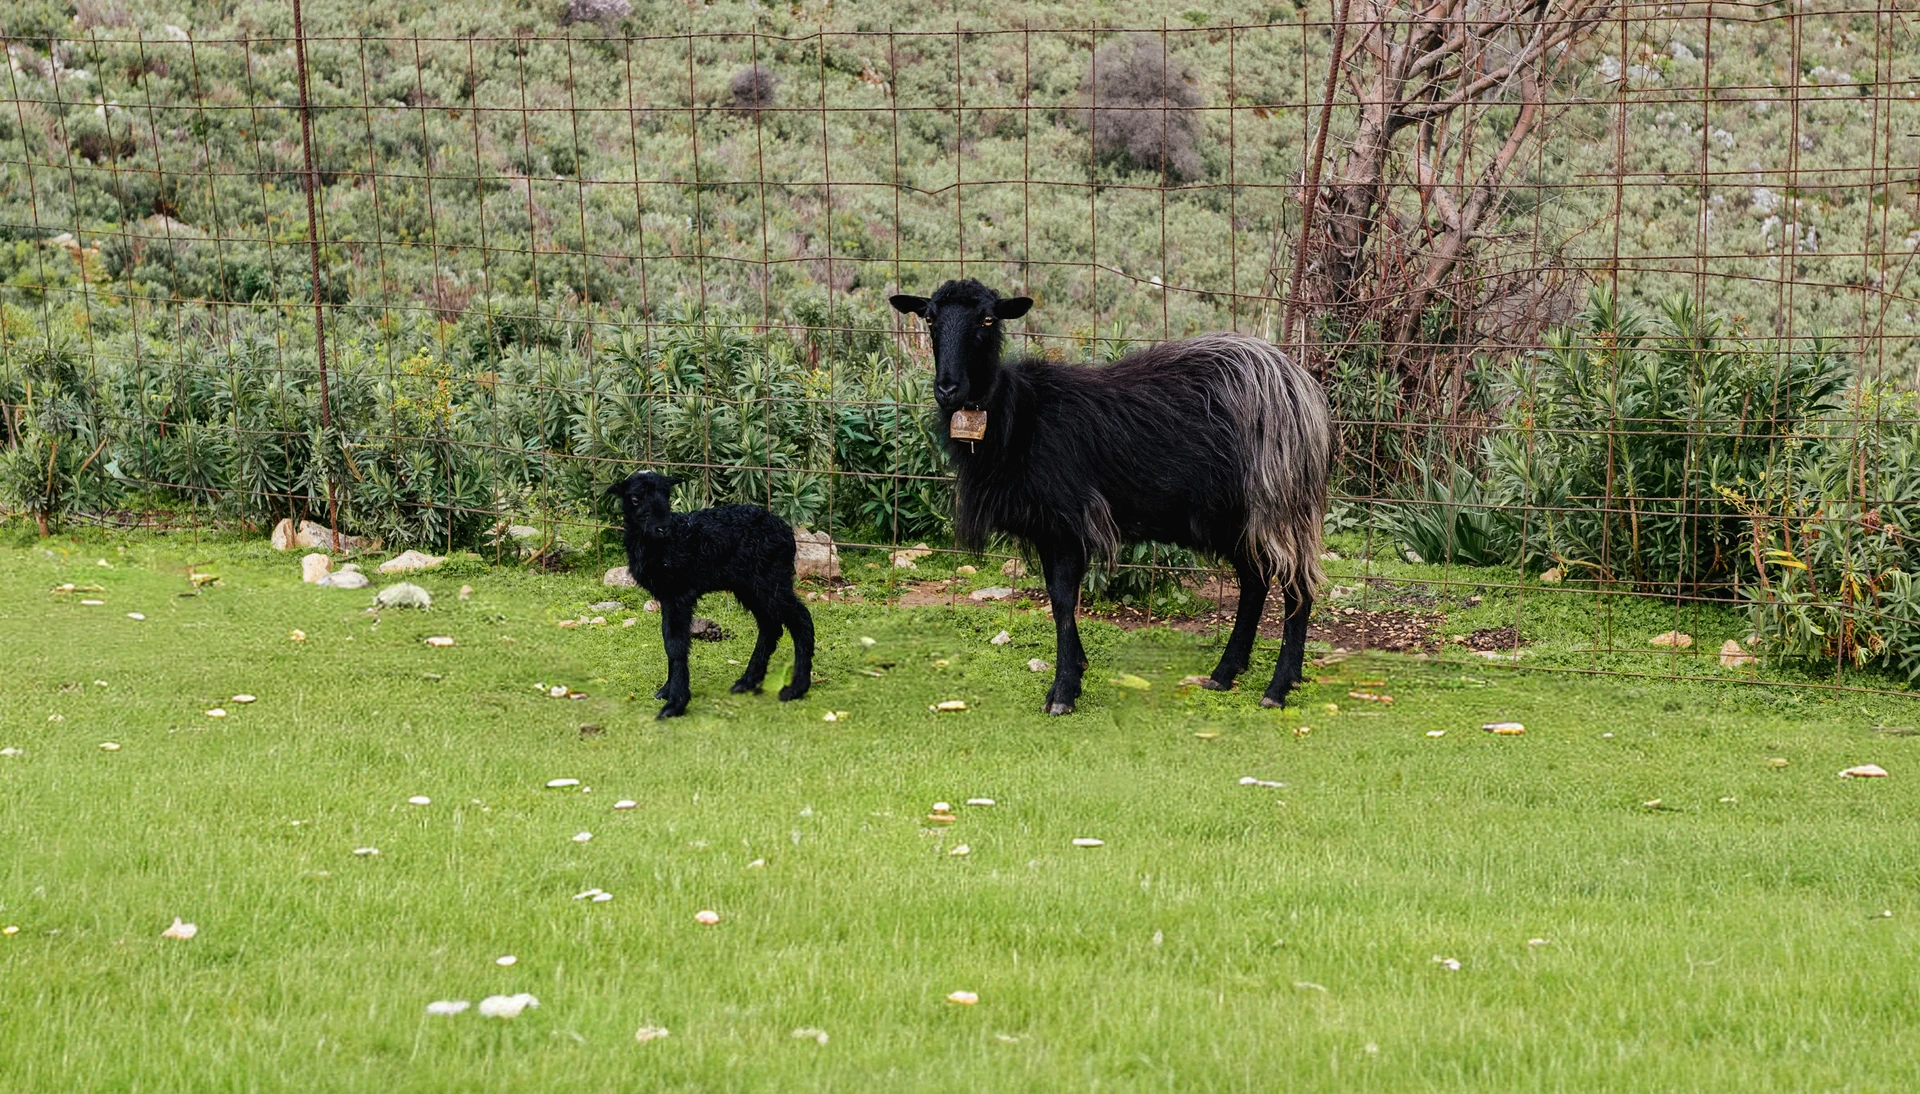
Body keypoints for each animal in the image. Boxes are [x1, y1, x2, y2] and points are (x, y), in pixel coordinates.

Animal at [605, 471, 814, 718]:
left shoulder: (680, 593)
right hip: (750, 585)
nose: (662, 528)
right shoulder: (667, 595)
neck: (665, 543)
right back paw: (747, 681)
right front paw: (666, 690)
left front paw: (675, 703)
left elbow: (676, 644)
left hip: (770, 578)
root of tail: (786, 531)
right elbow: (668, 640)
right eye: (635, 498)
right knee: (770, 626)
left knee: (800, 619)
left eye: (666, 495)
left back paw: (796, 688)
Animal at [891, 279, 1330, 715]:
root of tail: (1299, 385)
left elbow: (1062, 599)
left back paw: (1279, 686)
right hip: (1233, 518)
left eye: (987, 319)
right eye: (929, 318)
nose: (948, 388)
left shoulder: (1069, 520)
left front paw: (1063, 691)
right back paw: (1226, 672)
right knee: (1255, 581)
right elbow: (1057, 598)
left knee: (1298, 586)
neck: (1016, 415)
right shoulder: (1047, 526)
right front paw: (1078, 667)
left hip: (1279, 504)